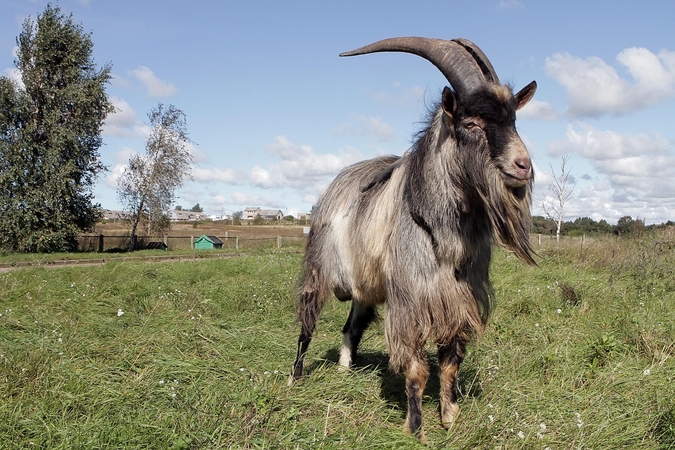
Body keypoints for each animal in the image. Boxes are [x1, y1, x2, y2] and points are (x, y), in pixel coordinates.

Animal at [290, 36, 540, 442]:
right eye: (471, 122)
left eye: (513, 120)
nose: (523, 166)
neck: (442, 234)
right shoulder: (409, 302)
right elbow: (417, 368)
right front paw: (416, 428)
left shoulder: (456, 301)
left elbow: (450, 362)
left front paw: (449, 416)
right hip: (318, 270)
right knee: (307, 323)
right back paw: (295, 378)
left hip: (365, 286)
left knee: (351, 327)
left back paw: (345, 369)